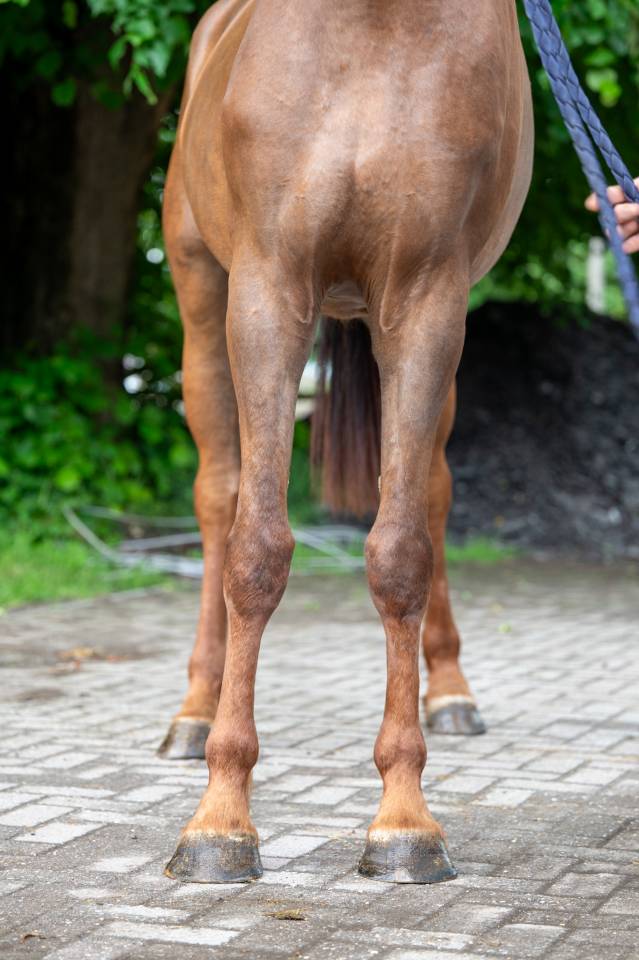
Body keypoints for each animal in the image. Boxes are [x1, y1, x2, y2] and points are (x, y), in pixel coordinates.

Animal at [159, 0, 534, 884]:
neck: (372, 27)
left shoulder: (427, 304)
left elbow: (398, 556)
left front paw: (404, 821)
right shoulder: (267, 292)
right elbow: (256, 550)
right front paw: (219, 820)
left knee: (430, 496)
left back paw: (451, 689)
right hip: (202, 300)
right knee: (219, 499)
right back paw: (196, 710)